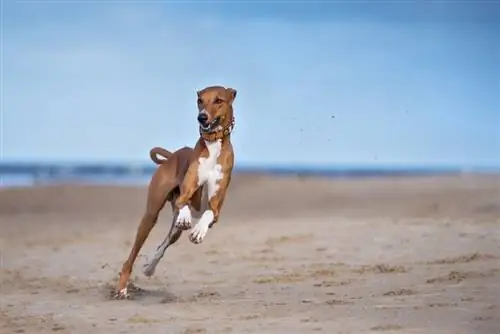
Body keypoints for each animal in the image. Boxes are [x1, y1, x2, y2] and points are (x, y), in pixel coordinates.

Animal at [116, 85, 237, 298]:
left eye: (218, 100)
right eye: (200, 100)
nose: (202, 117)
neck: (213, 145)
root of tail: (172, 155)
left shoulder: (216, 208)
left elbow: (208, 212)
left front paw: (198, 232)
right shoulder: (186, 192)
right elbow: (184, 202)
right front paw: (187, 217)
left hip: (174, 232)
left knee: (163, 244)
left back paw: (149, 267)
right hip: (150, 216)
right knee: (132, 255)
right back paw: (122, 287)